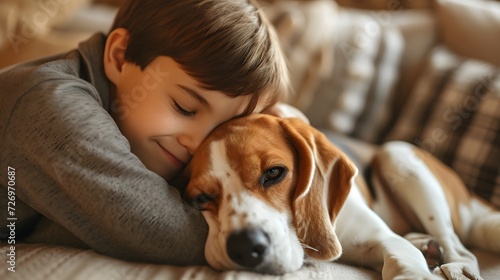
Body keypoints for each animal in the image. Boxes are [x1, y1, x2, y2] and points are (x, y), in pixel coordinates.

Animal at [185, 114, 500, 278]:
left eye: (274, 173)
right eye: (201, 198)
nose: (245, 248)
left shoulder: (384, 239)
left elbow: (403, 263)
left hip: (397, 153)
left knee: (461, 248)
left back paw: (456, 266)